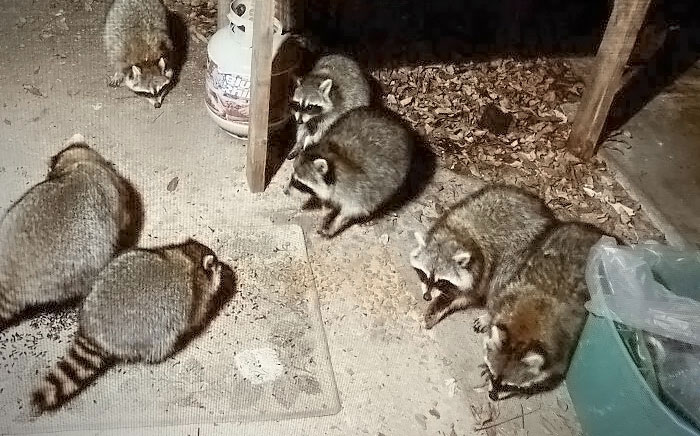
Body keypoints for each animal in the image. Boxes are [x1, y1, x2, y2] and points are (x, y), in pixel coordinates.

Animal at [32, 238, 235, 412]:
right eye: (217, 264)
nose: (224, 267)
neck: (188, 258)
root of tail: (95, 331)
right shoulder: (197, 299)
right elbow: (196, 316)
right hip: (152, 334)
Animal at [288, 107, 412, 237]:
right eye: (292, 177)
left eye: (300, 183)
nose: (286, 192)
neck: (331, 156)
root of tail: (395, 119)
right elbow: (328, 203)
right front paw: (325, 214)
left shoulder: (358, 190)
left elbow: (352, 210)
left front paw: (335, 223)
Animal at [410, 184, 552, 330]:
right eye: (424, 275)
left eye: (442, 281)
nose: (427, 297)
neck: (453, 236)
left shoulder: (479, 269)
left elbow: (463, 296)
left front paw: (437, 306)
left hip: (520, 253)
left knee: (499, 283)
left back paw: (490, 315)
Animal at [478, 223, 604, 400]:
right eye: (492, 374)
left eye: (508, 385)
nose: (492, 396)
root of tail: (593, 231)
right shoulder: (506, 295)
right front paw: (487, 318)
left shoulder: (562, 348)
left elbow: (554, 371)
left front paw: (528, 389)